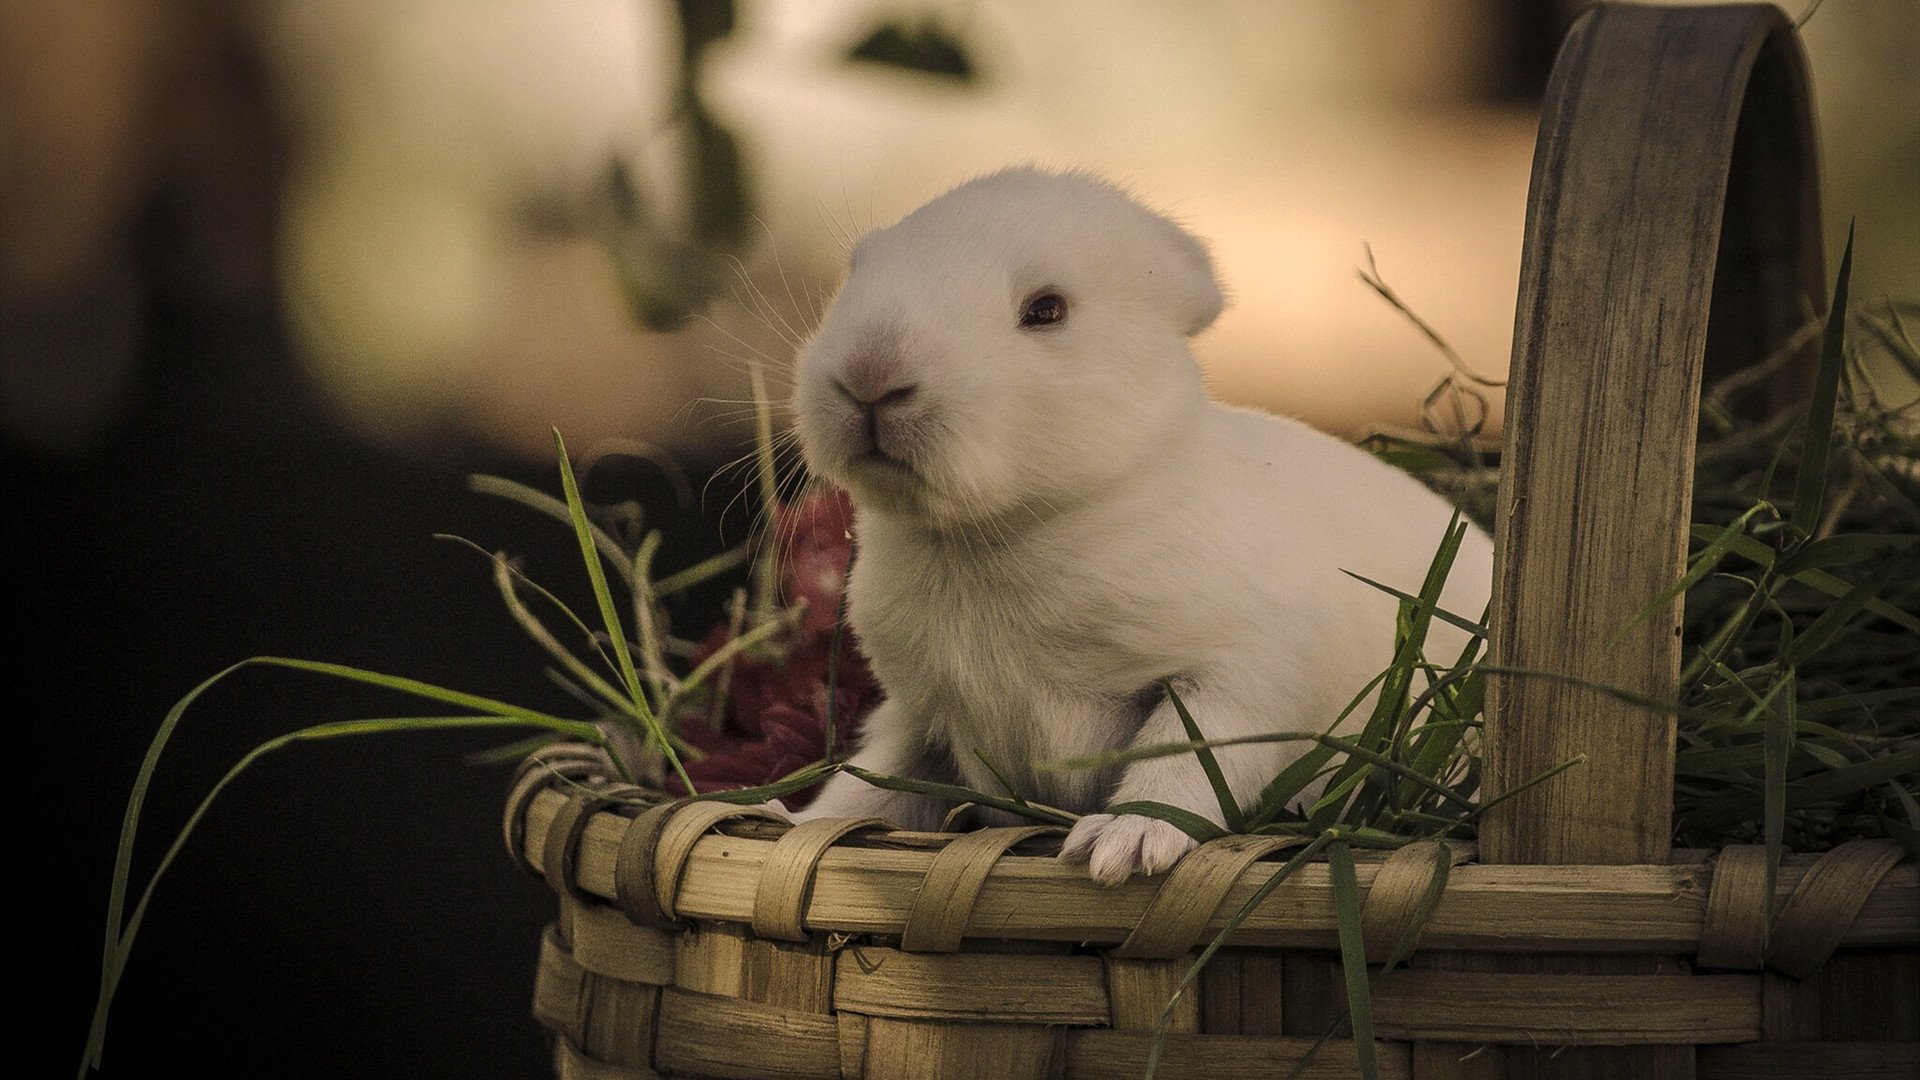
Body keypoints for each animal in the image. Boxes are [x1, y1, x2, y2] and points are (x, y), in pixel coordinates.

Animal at [775, 161, 1482, 883]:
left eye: (1047, 310)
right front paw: (792, 823)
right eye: (857, 271)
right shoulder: (918, 713)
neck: (1000, 535)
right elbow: (873, 781)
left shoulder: (1237, 678)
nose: (869, 376)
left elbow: (1184, 759)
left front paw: (1123, 844)